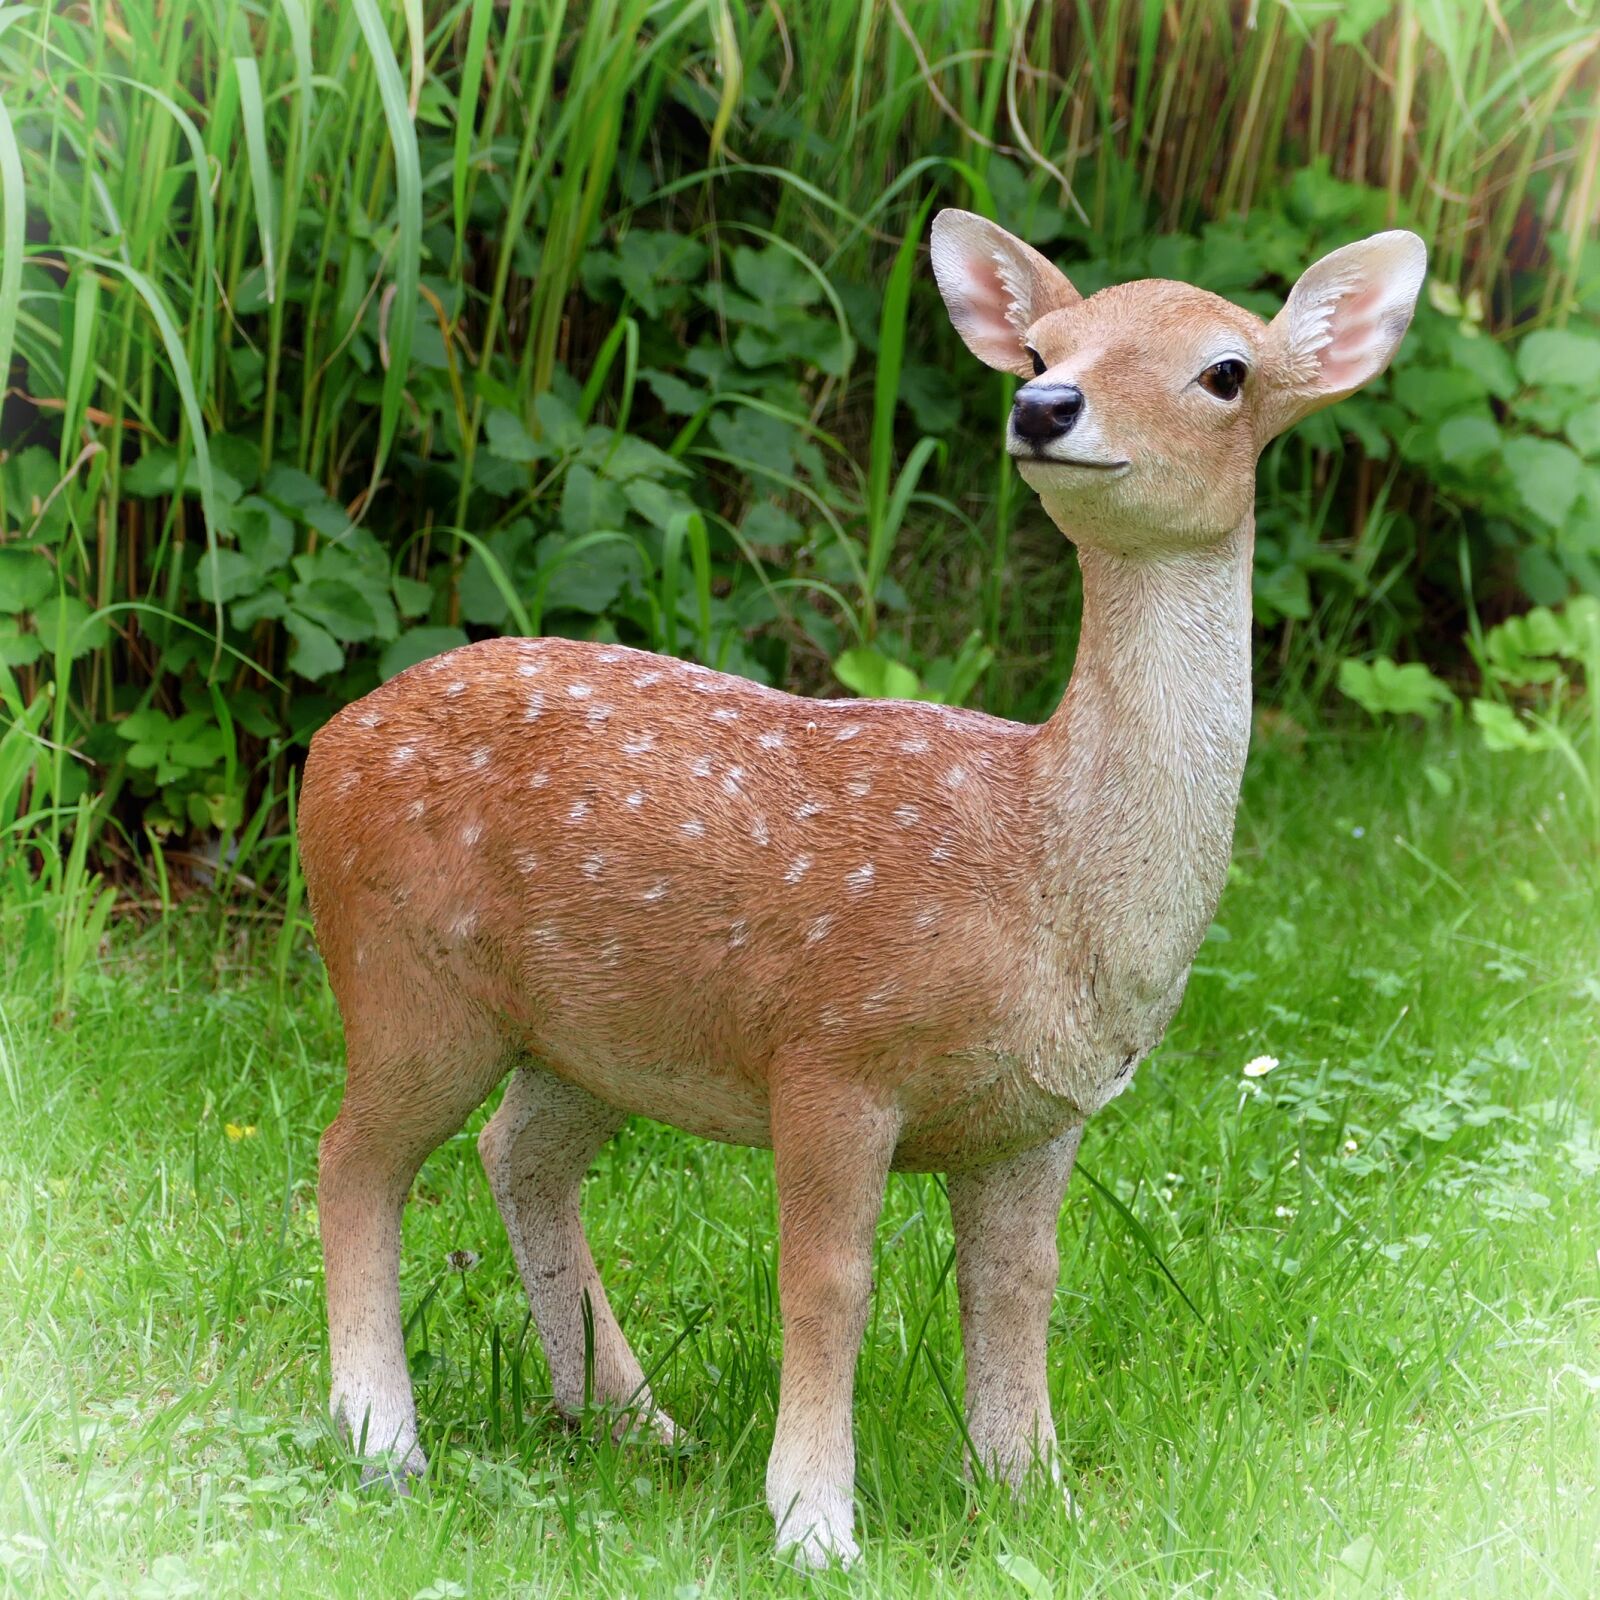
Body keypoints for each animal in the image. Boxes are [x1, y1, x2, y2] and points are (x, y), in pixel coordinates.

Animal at [298, 211, 1425, 1567]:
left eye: (1226, 372)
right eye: (1042, 346)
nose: (1043, 405)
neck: (1040, 871)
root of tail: (322, 749)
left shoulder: (1041, 1115)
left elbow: (1017, 1286)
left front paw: (1032, 1494)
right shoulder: (833, 1048)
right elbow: (829, 1282)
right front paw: (813, 1524)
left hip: (591, 1029)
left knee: (517, 1155)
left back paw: (628, 1418)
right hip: (404, 974)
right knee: (352, 1161)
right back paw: (384, 1439)